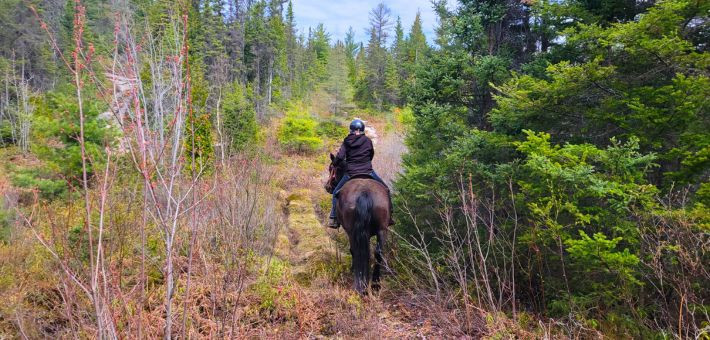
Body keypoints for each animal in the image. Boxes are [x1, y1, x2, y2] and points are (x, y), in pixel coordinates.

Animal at [326, 154, 392, 294]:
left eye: (330, 168)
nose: (327, 187)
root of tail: (364, 193)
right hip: (382, 229)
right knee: (378, 252)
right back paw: (375, 284)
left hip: (351, 231)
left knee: (356, 250)